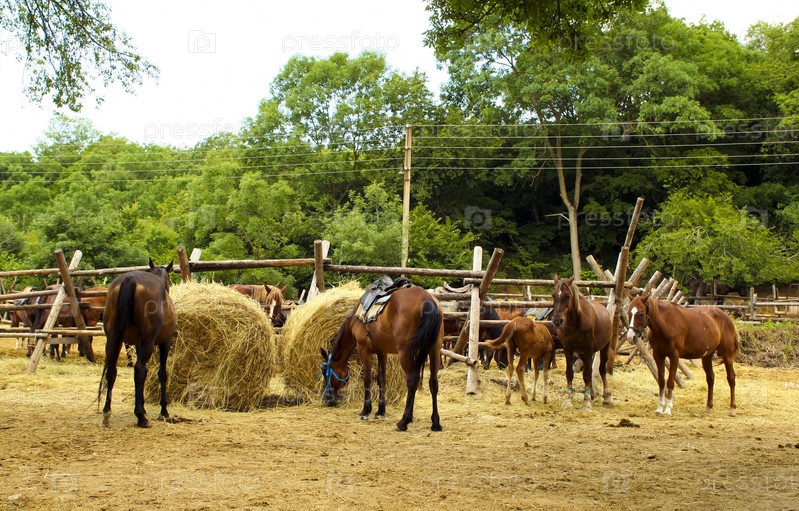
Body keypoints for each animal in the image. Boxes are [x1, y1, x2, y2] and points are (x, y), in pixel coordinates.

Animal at [98, 259, 176, 428]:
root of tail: (131, 279)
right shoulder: (165, 342)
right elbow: (162, 373)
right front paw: (163, 411)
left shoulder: (138, 344)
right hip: (148, 341)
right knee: (139, 369)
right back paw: (141, 417)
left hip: (113, 340)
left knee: (111, 370)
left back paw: (106, 413)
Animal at [319, 285, 443, 432]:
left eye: (325, 373)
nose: (326, 398)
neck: (354, 320)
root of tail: (427, 298)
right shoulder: (382, 352)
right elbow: (381, 379)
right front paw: (380, 411)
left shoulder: (363, 349)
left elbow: (367, 378)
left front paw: (365, 411)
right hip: (434, 349)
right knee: (433, 382)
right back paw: (435, 422)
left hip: (405, 352)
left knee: (412, 379)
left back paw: (404, 421)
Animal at [550, 275, 614, 410]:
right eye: (553, 295)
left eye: (568, 295)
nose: (557, 321)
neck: (575, 323)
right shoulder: (568, 348)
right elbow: (570, 373)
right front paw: (568, 400)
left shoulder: (588, 349)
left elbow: (587, 374)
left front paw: (586, 402)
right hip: (582, 353)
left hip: (604, 348)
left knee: (601, 369)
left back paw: (607, 397)